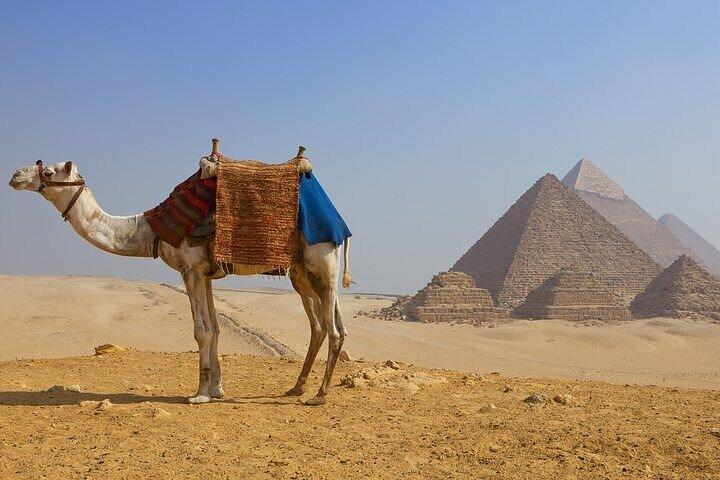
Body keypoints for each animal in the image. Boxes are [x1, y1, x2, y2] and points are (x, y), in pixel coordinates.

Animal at [8, 145, 352, 406]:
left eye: (49, 172)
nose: (15, 175)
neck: (150, 229)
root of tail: (340, 224)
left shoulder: (191, 269)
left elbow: (202, 331)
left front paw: (199, 394)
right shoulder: (207, 274)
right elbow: (215, 328)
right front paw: (216, 389)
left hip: (321, 259)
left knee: (333, 330)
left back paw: (319, 395)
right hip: (303, 273)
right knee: (325, 326)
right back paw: (297, 387)